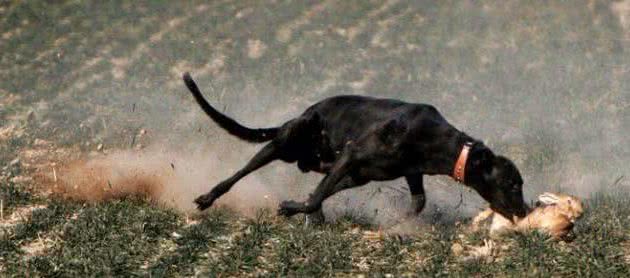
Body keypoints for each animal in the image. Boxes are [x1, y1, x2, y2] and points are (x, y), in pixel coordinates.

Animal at [185, 73, 532, 223]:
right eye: (512, 183)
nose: (526, 211)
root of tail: (303, 113)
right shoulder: (353, 155)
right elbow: (314, 198)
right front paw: (291, 208)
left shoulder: (396, 172)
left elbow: (418, 202)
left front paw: (397, 225)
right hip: (283, 142)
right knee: (239, 174)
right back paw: (208, 197)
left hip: (335, 166)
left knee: (321, 181)